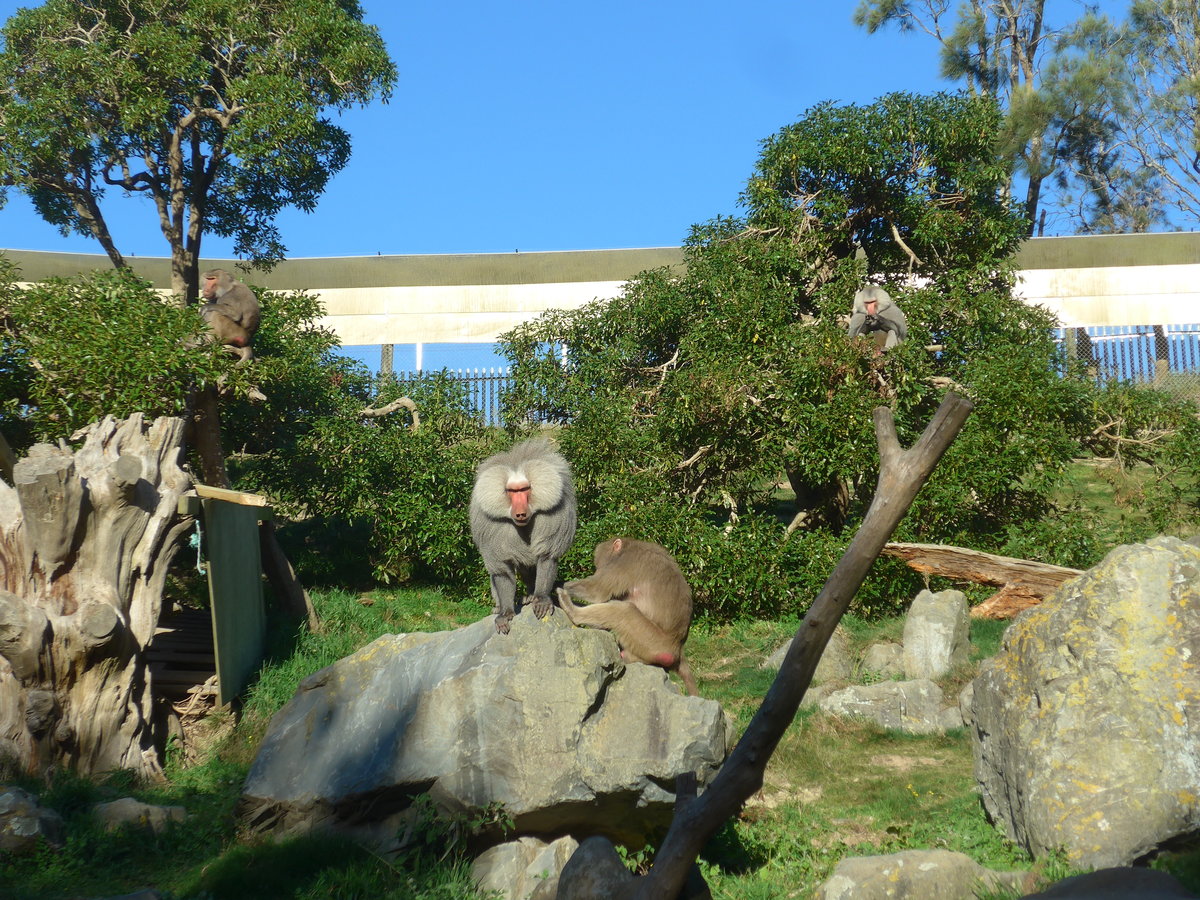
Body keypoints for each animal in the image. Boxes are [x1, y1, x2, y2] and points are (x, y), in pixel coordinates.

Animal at [469, 438, 578, 634]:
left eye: (524, 489)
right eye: (512, 491)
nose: (520, 513)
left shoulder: (553, 513)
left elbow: (546, 555)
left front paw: (541, 599)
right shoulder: (493, 525)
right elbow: (502, 569)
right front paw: (505, 612)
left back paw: (530, 595)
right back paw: (501, 605)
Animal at [555, 538, 698, 696]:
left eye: (600, 564)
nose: (597, 570)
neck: (631, 545)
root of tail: (679, 648)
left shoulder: (625, 562)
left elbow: (597, 591)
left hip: (653, 641)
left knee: (624, 611)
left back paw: (572, 611)